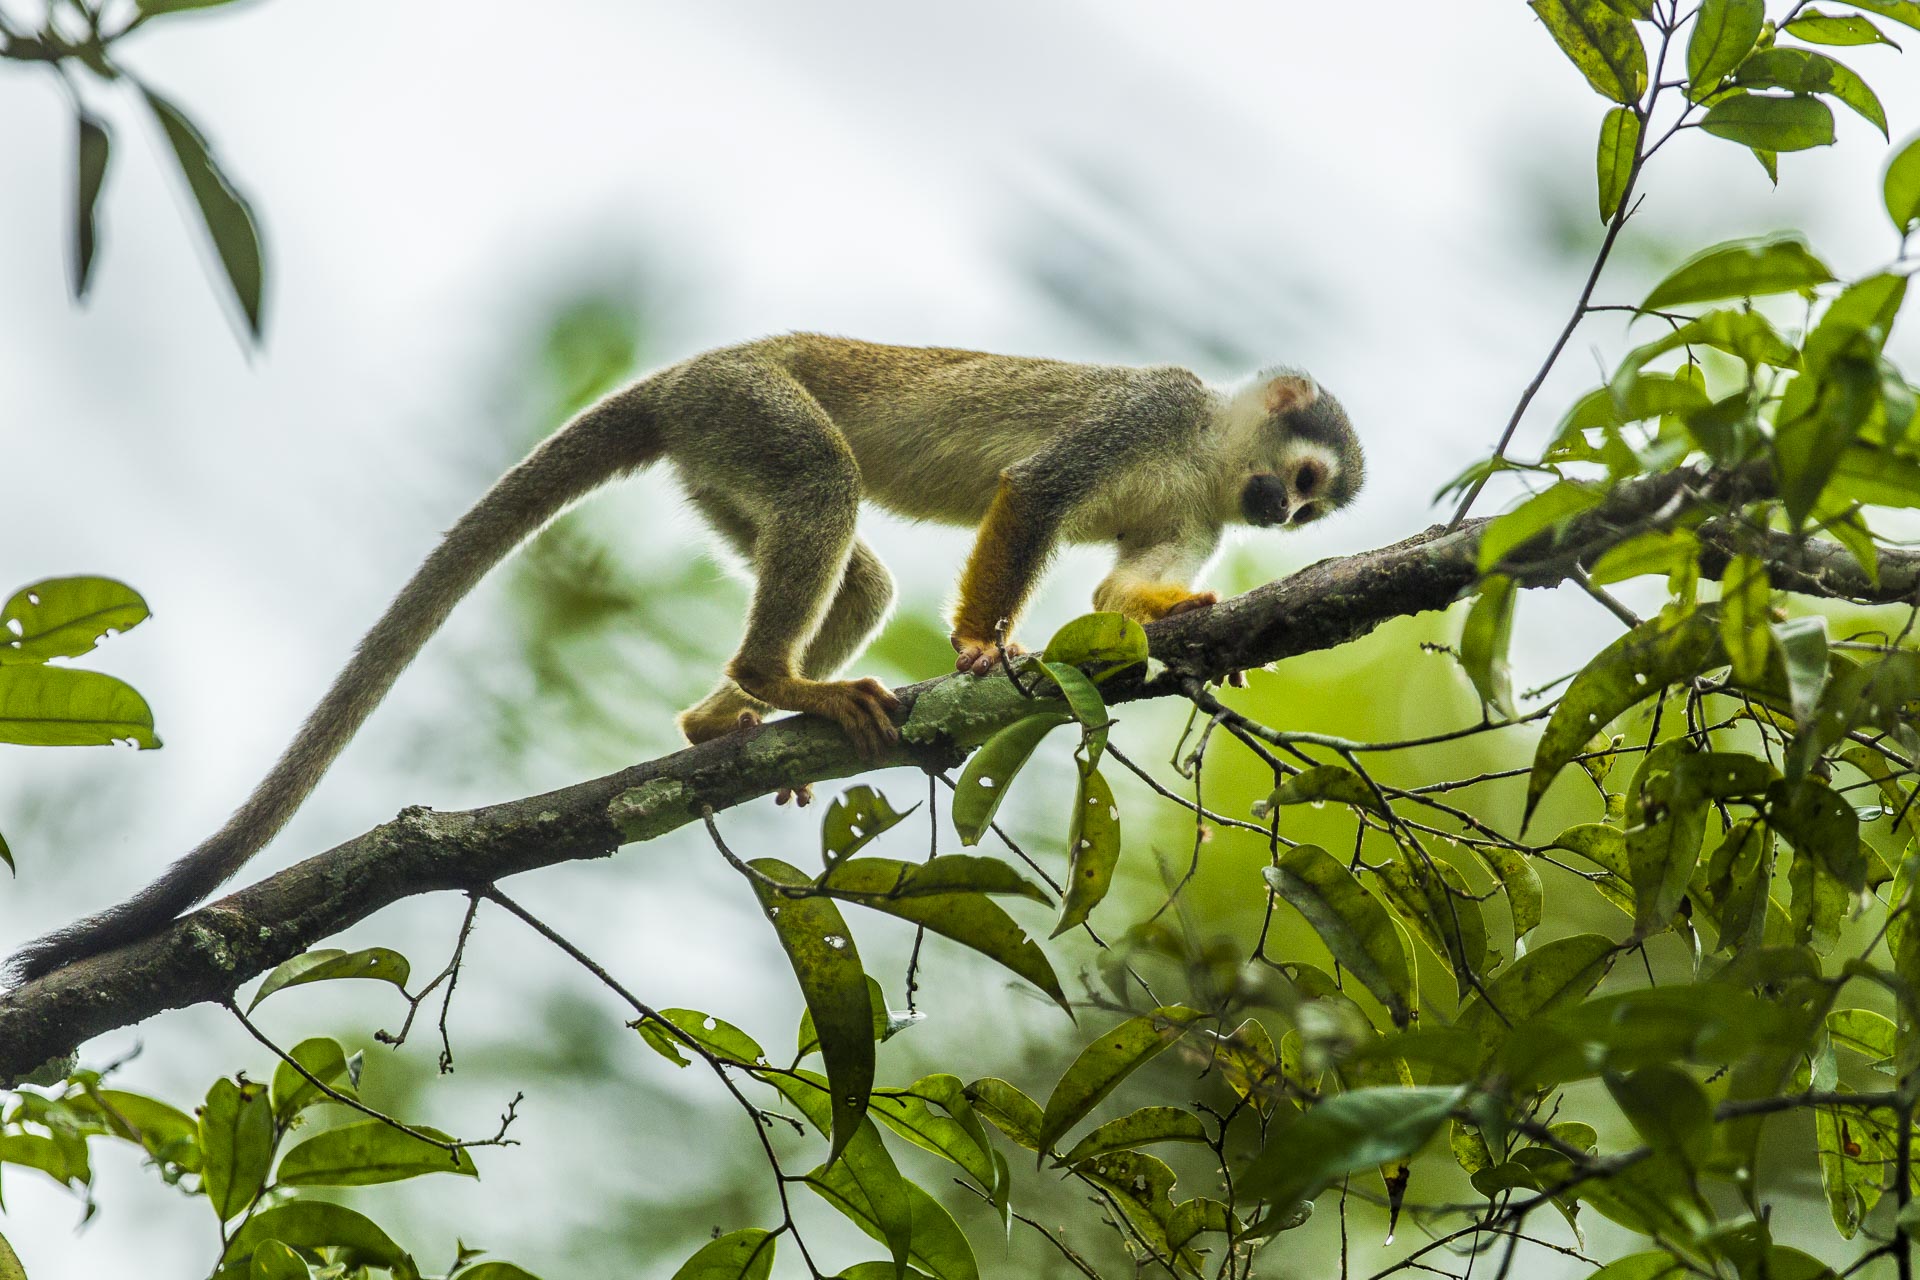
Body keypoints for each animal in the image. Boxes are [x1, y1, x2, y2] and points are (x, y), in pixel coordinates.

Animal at [15, 333, 1367, 982]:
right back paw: (772, 686)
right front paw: (985, 641)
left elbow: (1117, 587)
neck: (1208, 452)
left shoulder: (1199, 502)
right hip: (748, 406)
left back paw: (721, 719)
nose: (1286, 514)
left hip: (718, 460)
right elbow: (1034, 492)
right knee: (821, 480)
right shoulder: (1150, 411)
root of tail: (680, 377)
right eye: (1302, 481)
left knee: (852, 570)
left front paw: (1177, 612)